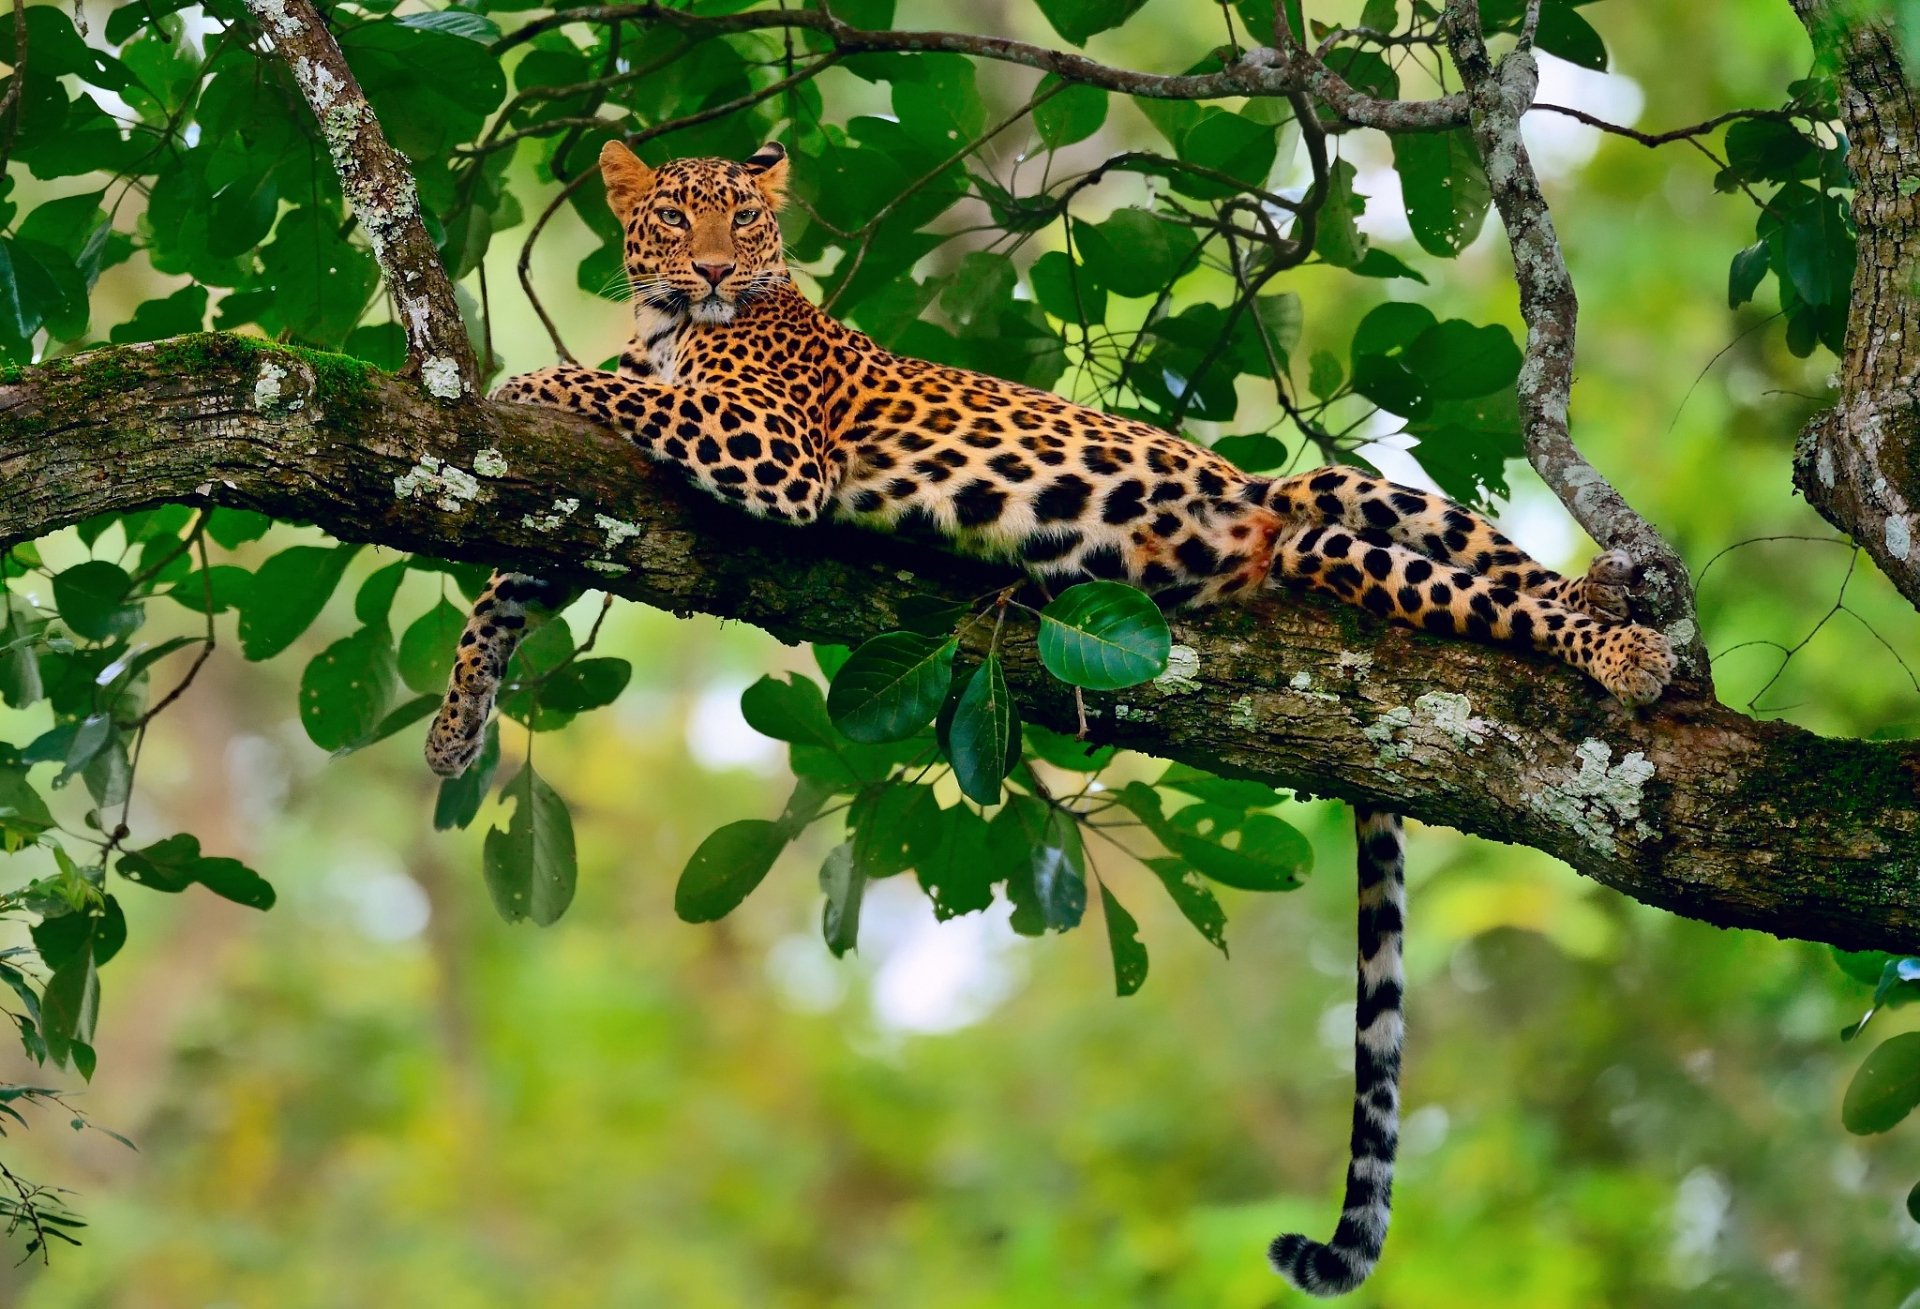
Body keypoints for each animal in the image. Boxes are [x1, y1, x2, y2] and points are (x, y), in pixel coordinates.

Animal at [424, 139, 1672, 1297]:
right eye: (676, 218)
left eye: (746, 218)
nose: (721, 272)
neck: (667, 325)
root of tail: (1261, 522)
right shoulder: (594, 497)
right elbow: (509, 579)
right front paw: (456, 721)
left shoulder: (770, 445)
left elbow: (623, 395)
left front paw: (530, 381)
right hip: (1325, 537)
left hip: (1348, 499)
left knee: (1508, 581)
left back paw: (1630, 634)